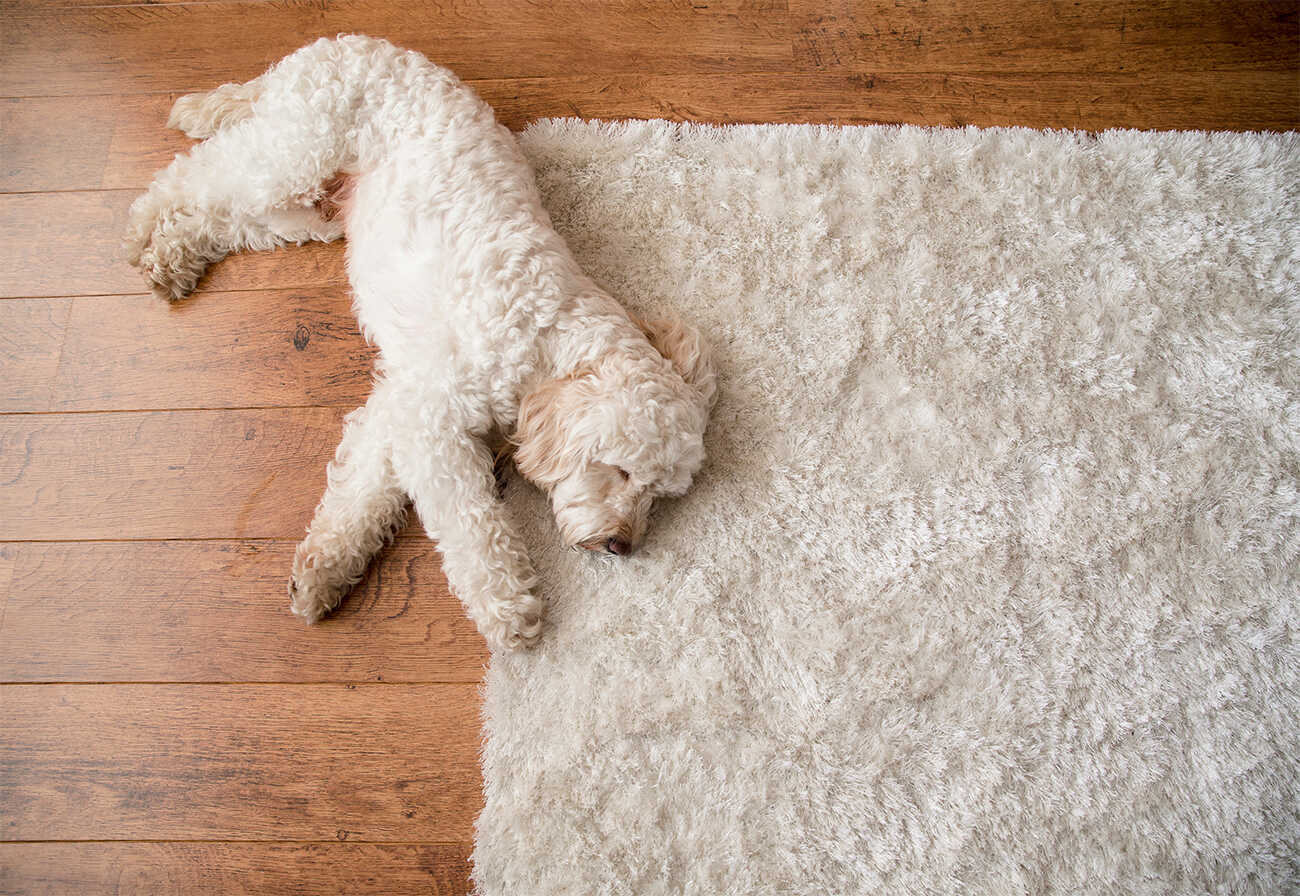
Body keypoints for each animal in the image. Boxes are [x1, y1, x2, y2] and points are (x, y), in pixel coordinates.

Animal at [125, 36, 717, 650]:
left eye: (659, 496)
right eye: (621, 471)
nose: (624, 545)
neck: (544, 339)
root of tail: (343, 42)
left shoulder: (400, 402)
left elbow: (363, 488)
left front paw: (326, 569)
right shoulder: (434, 418)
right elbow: (472, 524)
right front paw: (509, 607)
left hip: (307, 211)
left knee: (225, 218)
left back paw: (172, 255)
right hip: (289, 156)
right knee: (192, 175)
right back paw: (143, 227)